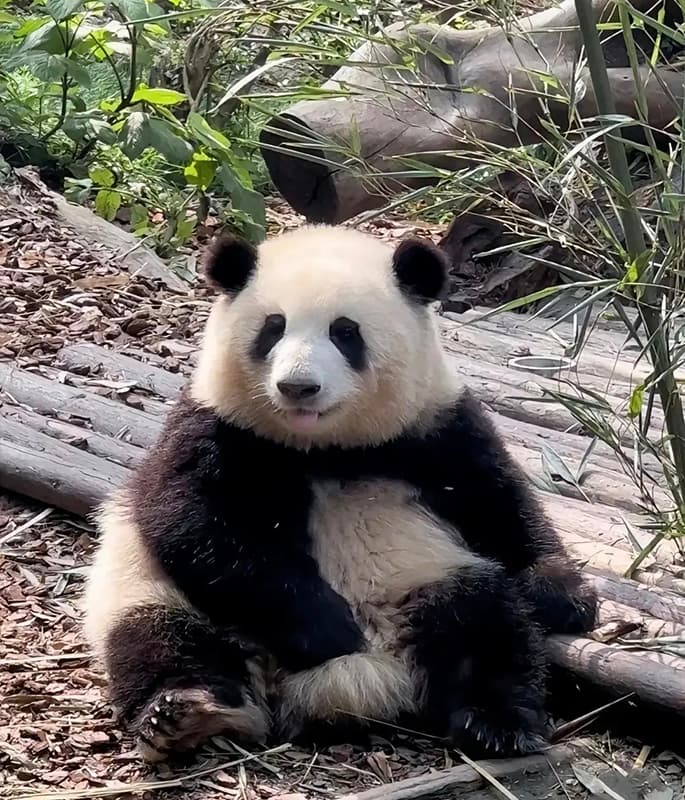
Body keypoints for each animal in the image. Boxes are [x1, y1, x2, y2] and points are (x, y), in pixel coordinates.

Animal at [82, 224, 596, 764]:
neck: (323, 448)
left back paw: (496, 723)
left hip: (427, 578)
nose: (298, 387)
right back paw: (184, 711)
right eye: (273, 327)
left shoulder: (435, 427)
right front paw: (328, 627)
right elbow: (191, 522)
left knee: (485, 622)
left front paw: (562, 595)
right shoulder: (214, 427)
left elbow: (498, 504)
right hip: (155, 588)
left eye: (345, 332)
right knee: (158, 637)